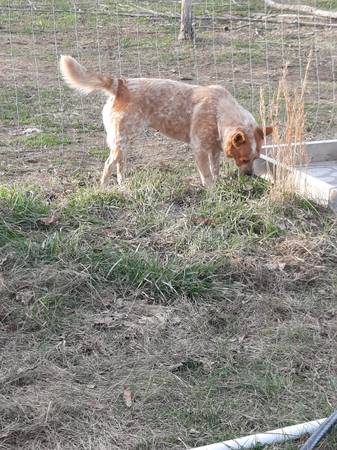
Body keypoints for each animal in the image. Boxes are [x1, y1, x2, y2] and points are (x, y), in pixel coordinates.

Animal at [59, 55, 272, 187]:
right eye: (243, 159)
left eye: (256, 158)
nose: (250, 175)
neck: (219, 111)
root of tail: (121, 84)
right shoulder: (199, 148)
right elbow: (207, 175)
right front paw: (213, 192)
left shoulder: (214, 149)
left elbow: (216, 169)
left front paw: (219, 183)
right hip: (122, 140)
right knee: (108, 165)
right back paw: (104, 188)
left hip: (125, 142)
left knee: (120, 166)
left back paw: (123, 185)